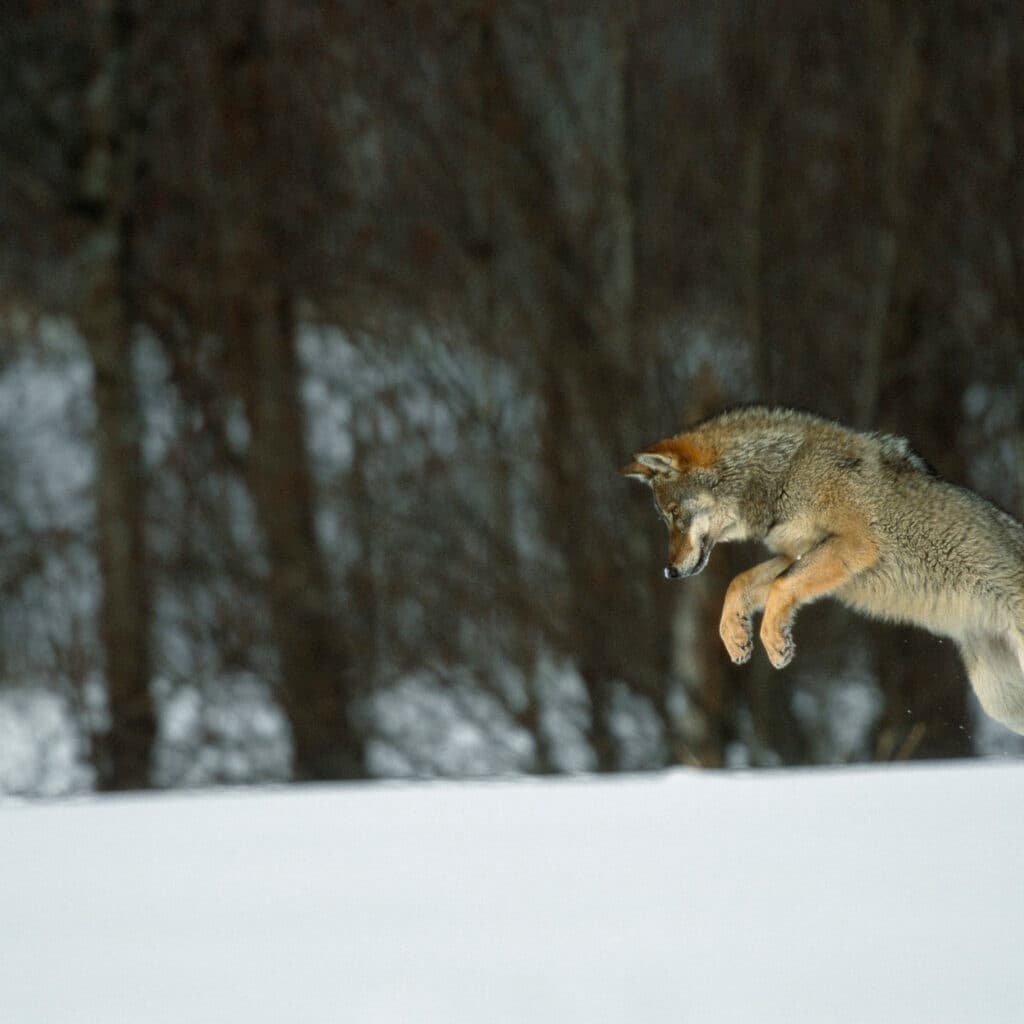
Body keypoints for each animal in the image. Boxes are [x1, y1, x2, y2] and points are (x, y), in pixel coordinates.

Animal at [618, 407, 1024, 737]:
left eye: (674, 515)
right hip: (1000, 704)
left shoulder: (854, 544)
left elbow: (780, 588)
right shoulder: (794, 551)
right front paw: (736, 636)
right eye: (665, 519)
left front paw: (775, 643)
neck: (785, 471)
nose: (670, 572)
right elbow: (740, 583)